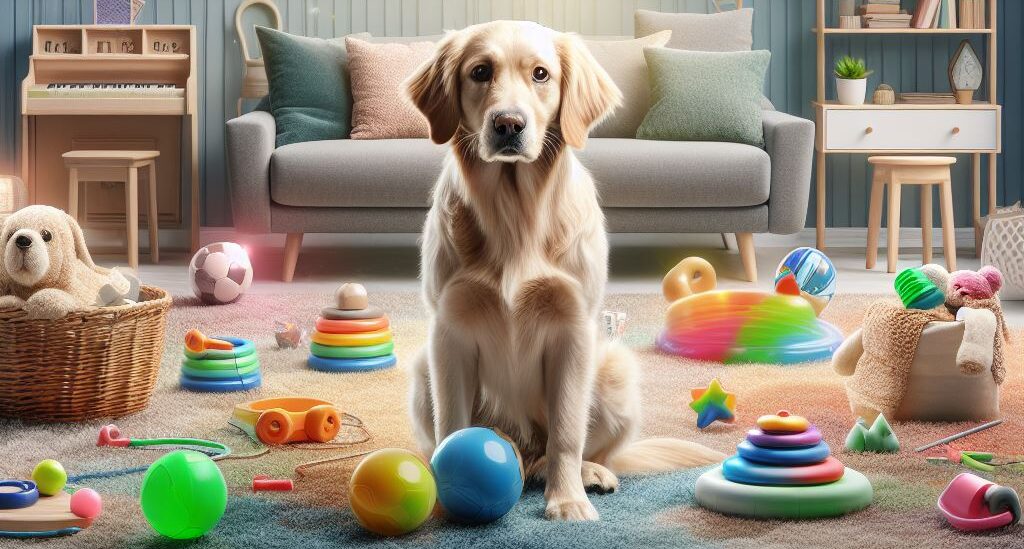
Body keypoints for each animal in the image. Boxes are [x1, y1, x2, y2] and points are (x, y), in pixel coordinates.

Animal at [403, 21, 724, 518]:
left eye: (541, 74)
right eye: (480, 71)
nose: (508, 124)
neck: (515, 214)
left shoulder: (572, 329)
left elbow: (568, 432)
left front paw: (568, 500)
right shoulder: (448, 330)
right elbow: (451, 425)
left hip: (614, 369)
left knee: (581, 449)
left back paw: (586, 473)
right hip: (422, 368)